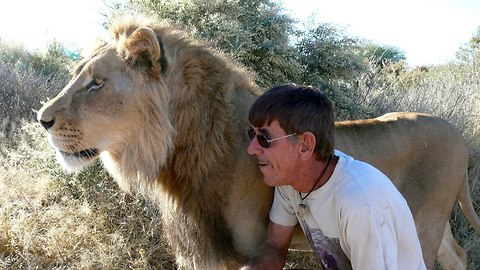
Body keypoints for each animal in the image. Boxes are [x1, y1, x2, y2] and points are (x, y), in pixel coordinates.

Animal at [38, 15, 480, 268]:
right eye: (78, 75)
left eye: (96, 83)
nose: (42, 120)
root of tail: (458, 133)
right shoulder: (204, 252)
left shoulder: (246, 251)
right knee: (457, 255)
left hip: (422, 225)